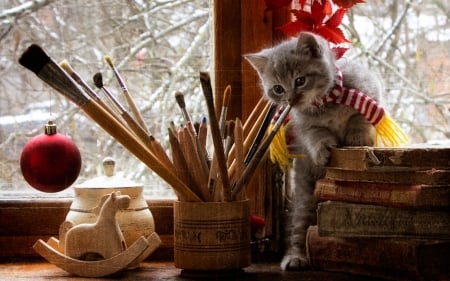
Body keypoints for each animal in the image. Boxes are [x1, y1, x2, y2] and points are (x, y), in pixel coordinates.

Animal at [244, 32, 382, 270]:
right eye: (278, 89)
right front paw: (322, 151)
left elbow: (360, 116)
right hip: (305, 194)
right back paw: (295, 256)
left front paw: (358, 136)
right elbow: (317, 136)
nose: (291, 99)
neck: (326, 103)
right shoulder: (307, 127)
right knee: (299, 225)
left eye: (300, 80)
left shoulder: (369, 89)